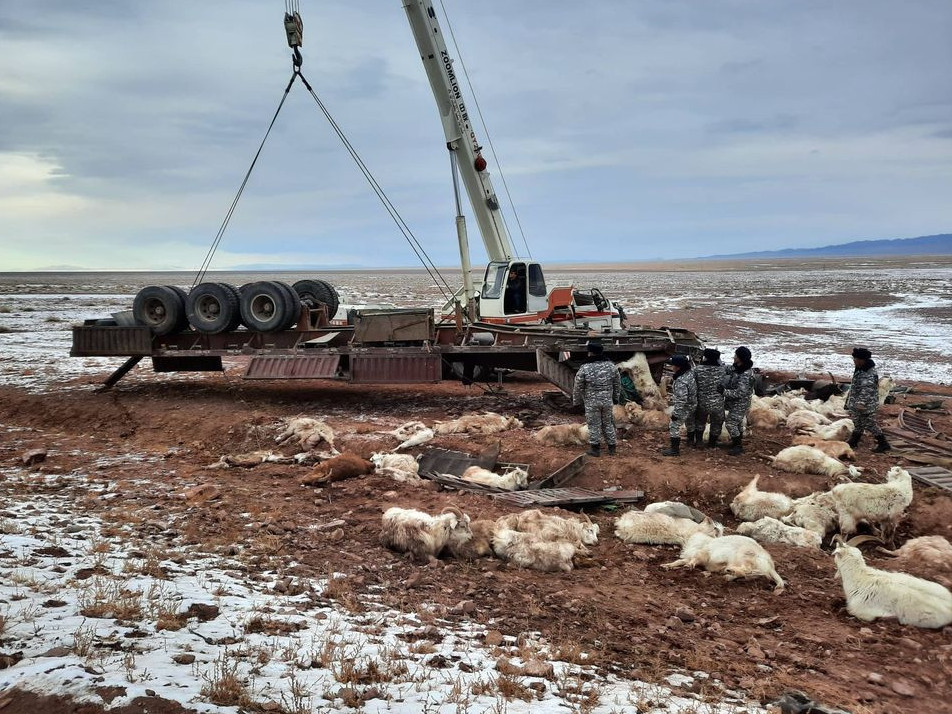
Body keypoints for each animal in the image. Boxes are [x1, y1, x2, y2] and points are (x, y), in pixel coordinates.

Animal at [660, 532, 788, 592]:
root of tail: (770, 565)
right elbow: (678, 561)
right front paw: (666, 566)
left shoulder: (703, 554)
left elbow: (692, 560)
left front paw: (689, 566)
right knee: (748, 574)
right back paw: (728, 574)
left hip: (744, 555)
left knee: (747, 570)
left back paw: (729, 570)